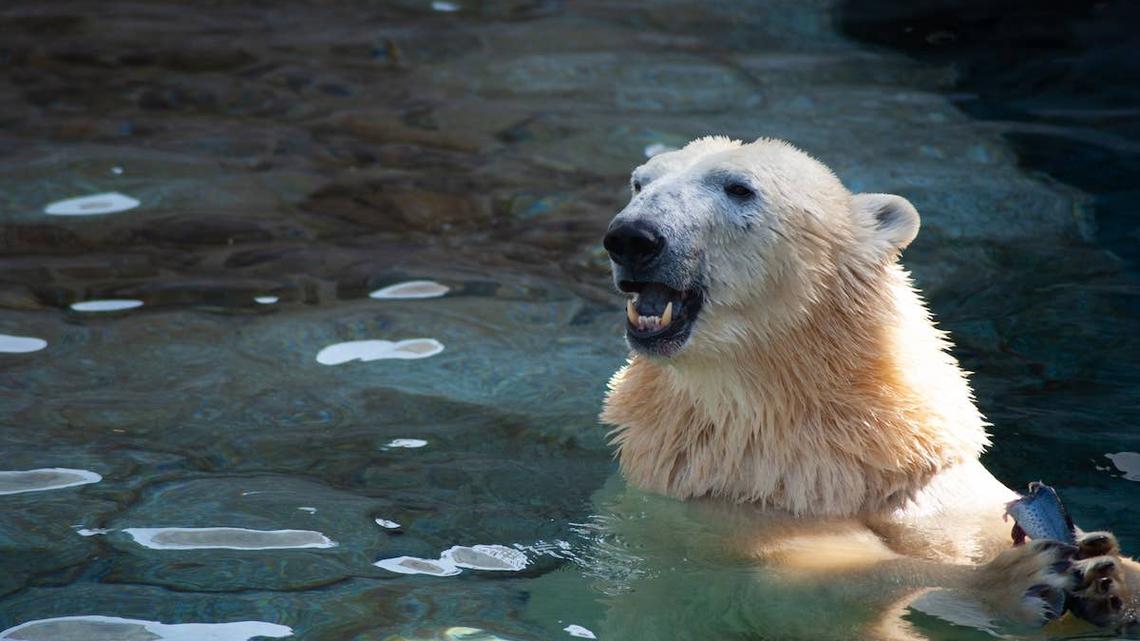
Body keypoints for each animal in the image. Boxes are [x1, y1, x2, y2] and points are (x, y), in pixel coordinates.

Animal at [591, 136, 1138, 640]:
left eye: (739, 188)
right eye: (640, 183)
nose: (632, 238)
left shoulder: (916, 476)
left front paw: (1106, 569)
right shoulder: (724, 499)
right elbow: (817, 578)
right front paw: (1013, 581)